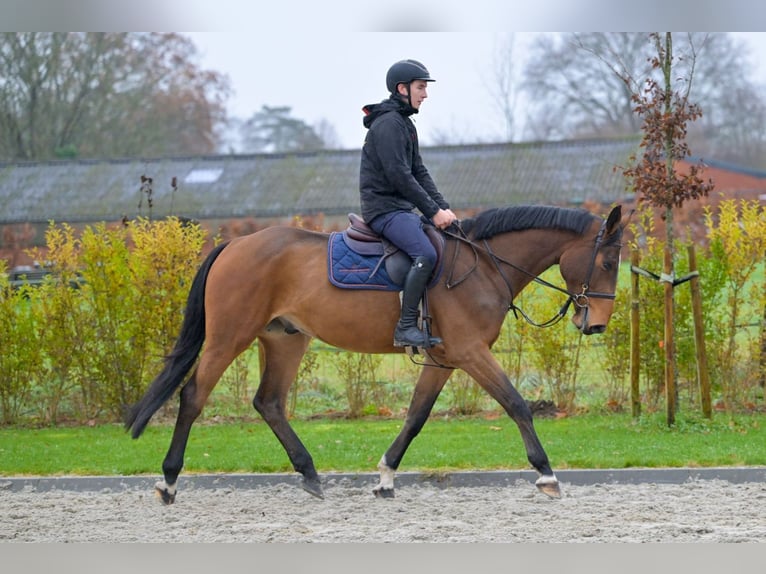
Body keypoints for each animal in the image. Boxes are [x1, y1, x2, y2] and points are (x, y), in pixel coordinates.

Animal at [126, 202, 628, 504]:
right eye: (607, 261)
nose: (596, 324)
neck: (484, 266)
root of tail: (234, 243)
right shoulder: (470, 354)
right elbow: (517, 405)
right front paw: (546, 474)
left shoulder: (445, 360)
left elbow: (416, 416)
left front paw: (386, 475)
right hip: (229, 337)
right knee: (193, 397)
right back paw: (168, 481)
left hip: (286, 339)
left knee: (268, 402)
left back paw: (310, 475)